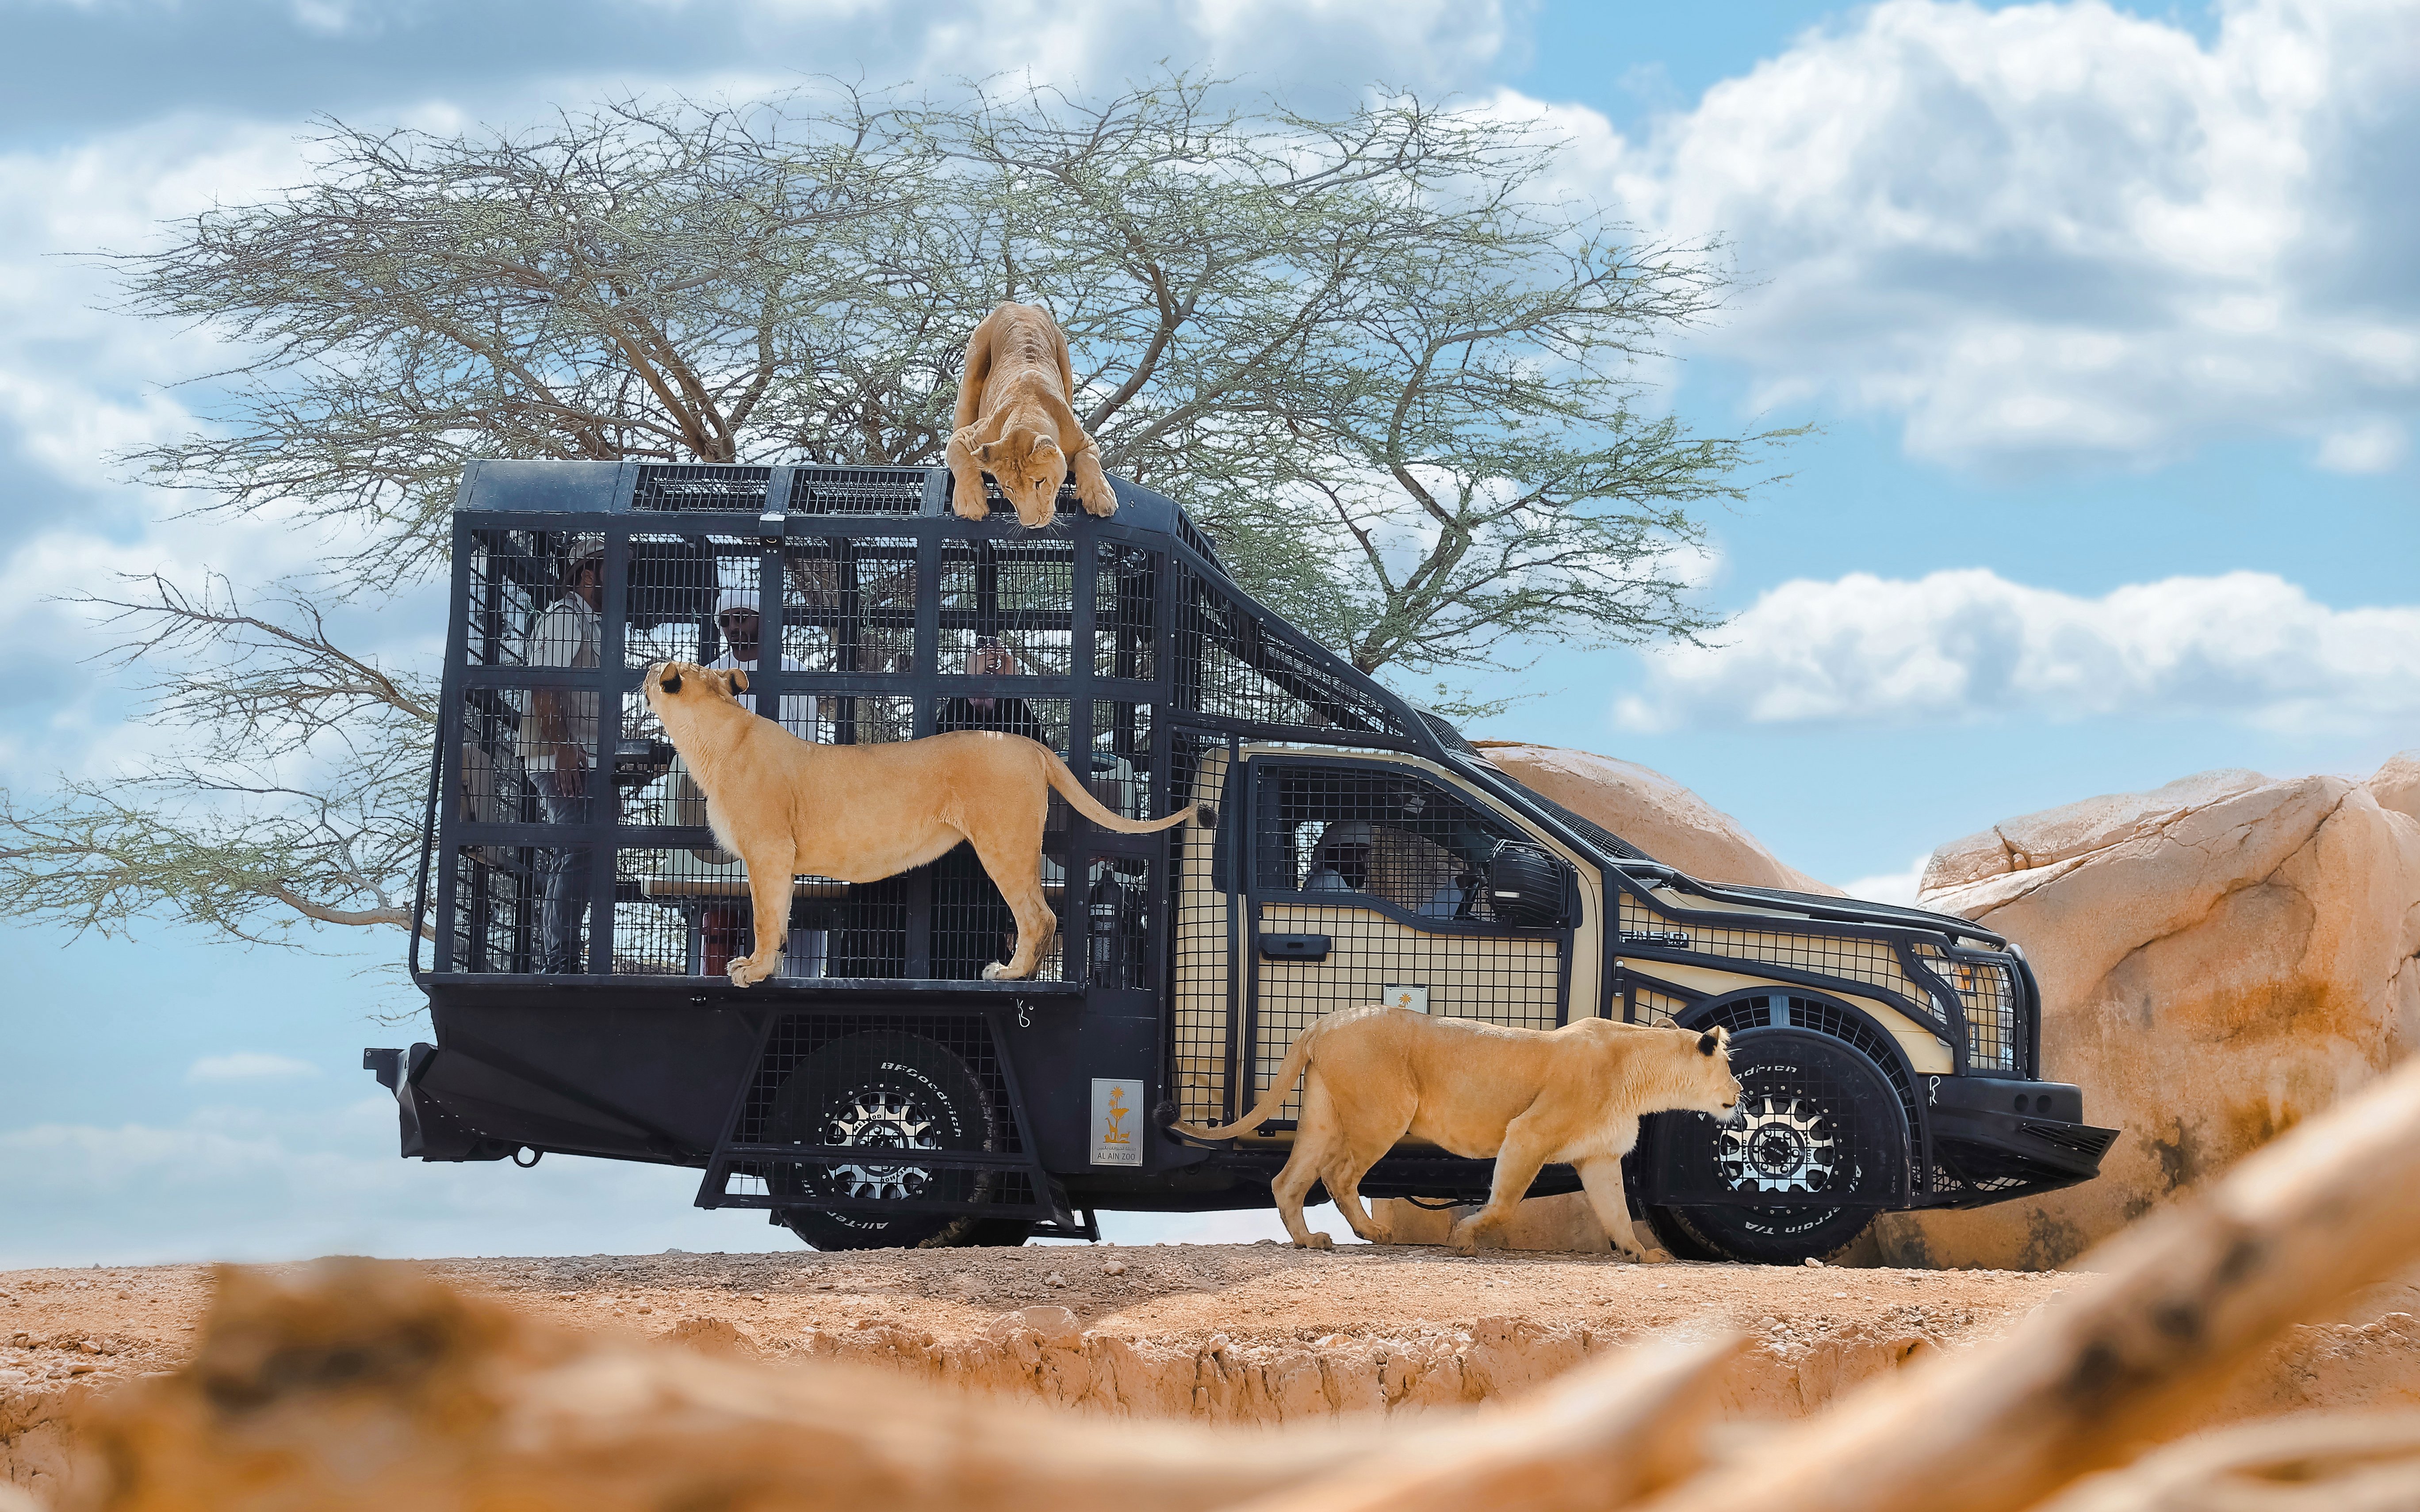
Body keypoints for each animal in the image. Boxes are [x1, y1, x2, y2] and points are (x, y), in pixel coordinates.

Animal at [643, 659, 1210, 985]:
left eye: (651, 671)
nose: (644, 672)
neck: (714, 738)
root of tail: (1027, 743)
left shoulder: (768, 850)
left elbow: (765, 919)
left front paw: (753, 971)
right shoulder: (779, 860)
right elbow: (780, 920)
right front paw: (770, 968)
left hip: (1003, 843)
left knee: (1039, 916)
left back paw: (1010, 975)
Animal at [947, 301, 1119, 526]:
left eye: (1040, 482)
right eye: (1009, 488)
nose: (1031, 524)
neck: (1026, 414)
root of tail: (1021, 305)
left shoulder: (1084, 439)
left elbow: (1089, 459)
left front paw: (1100, 497)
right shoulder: (970, 436)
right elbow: (962, 461)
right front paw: (971, 504)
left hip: (1065, 365)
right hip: (971, 372)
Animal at [1177, 1007, 1740, 1260]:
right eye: (1730, 1065)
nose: (1741, 1090)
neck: (1642, 1077)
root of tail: (1326, 1020)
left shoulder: (1599, 1157)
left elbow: (1618, 1213)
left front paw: (1641, 1254)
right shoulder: (1528, 1132)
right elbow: (1505, 1203)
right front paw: (1465, 1238)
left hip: (1322, 1116)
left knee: (1288, 1180)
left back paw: (1309, 1240)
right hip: (1384, 1113)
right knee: (1340, 1175)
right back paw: (1373, 1233)